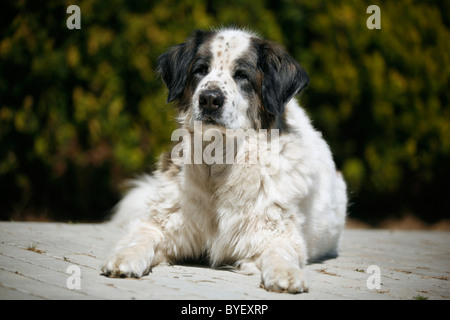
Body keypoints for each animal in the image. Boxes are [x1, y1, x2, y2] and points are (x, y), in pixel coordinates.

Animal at [102, 27, 348, 292]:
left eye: (242, 76)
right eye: (200, 70)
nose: (210, 98)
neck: (219, 159)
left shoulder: (274, 232)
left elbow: (280, 251)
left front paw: (287, 274)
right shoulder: (165, 225)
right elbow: (142, 236)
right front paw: (124, 258)